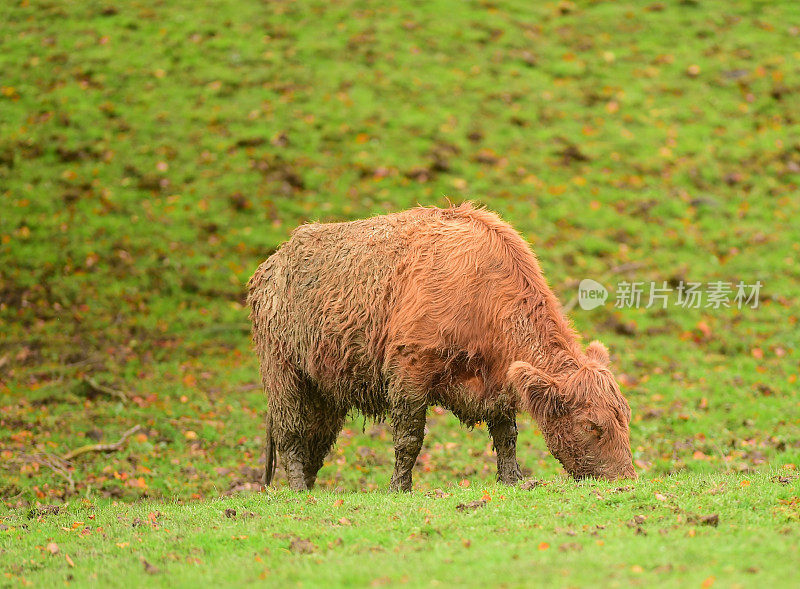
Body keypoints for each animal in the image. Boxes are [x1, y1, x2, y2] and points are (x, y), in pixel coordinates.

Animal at [247, 204, 636, 490]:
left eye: (624, 417)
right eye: (591, 425)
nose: (626, 480)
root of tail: (271, 265)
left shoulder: (496, 383)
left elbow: (506, 435)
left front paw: (513, 481)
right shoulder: (409, 370)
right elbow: (409, 439)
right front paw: (399, 488)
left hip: (325, 390)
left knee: (316, 439)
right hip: (284, 374)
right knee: (290, 434)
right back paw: (299, 492)